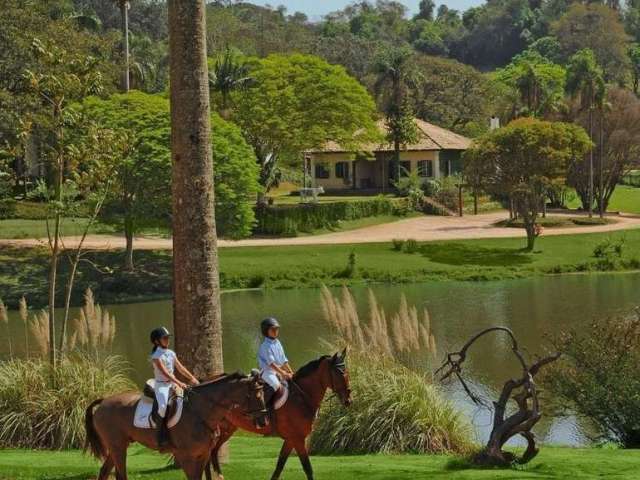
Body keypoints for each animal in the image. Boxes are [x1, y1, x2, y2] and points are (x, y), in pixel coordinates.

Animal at [84, 372, 264, 480]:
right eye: (257, 395)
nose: (263, 421)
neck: (201, 411)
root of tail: (104, 401)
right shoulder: (186, 456)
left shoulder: (203, 454)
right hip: (118, 446)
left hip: (118, 445)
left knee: (104, 471)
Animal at [209, 350, 350, 480]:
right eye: (340, 373)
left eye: (347, 372)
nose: (348, 399)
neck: (301, 396)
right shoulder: (298, 439)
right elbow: (307, 468)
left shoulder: (290, 440)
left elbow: (279, 466)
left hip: (227, 428)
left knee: (213, 452)